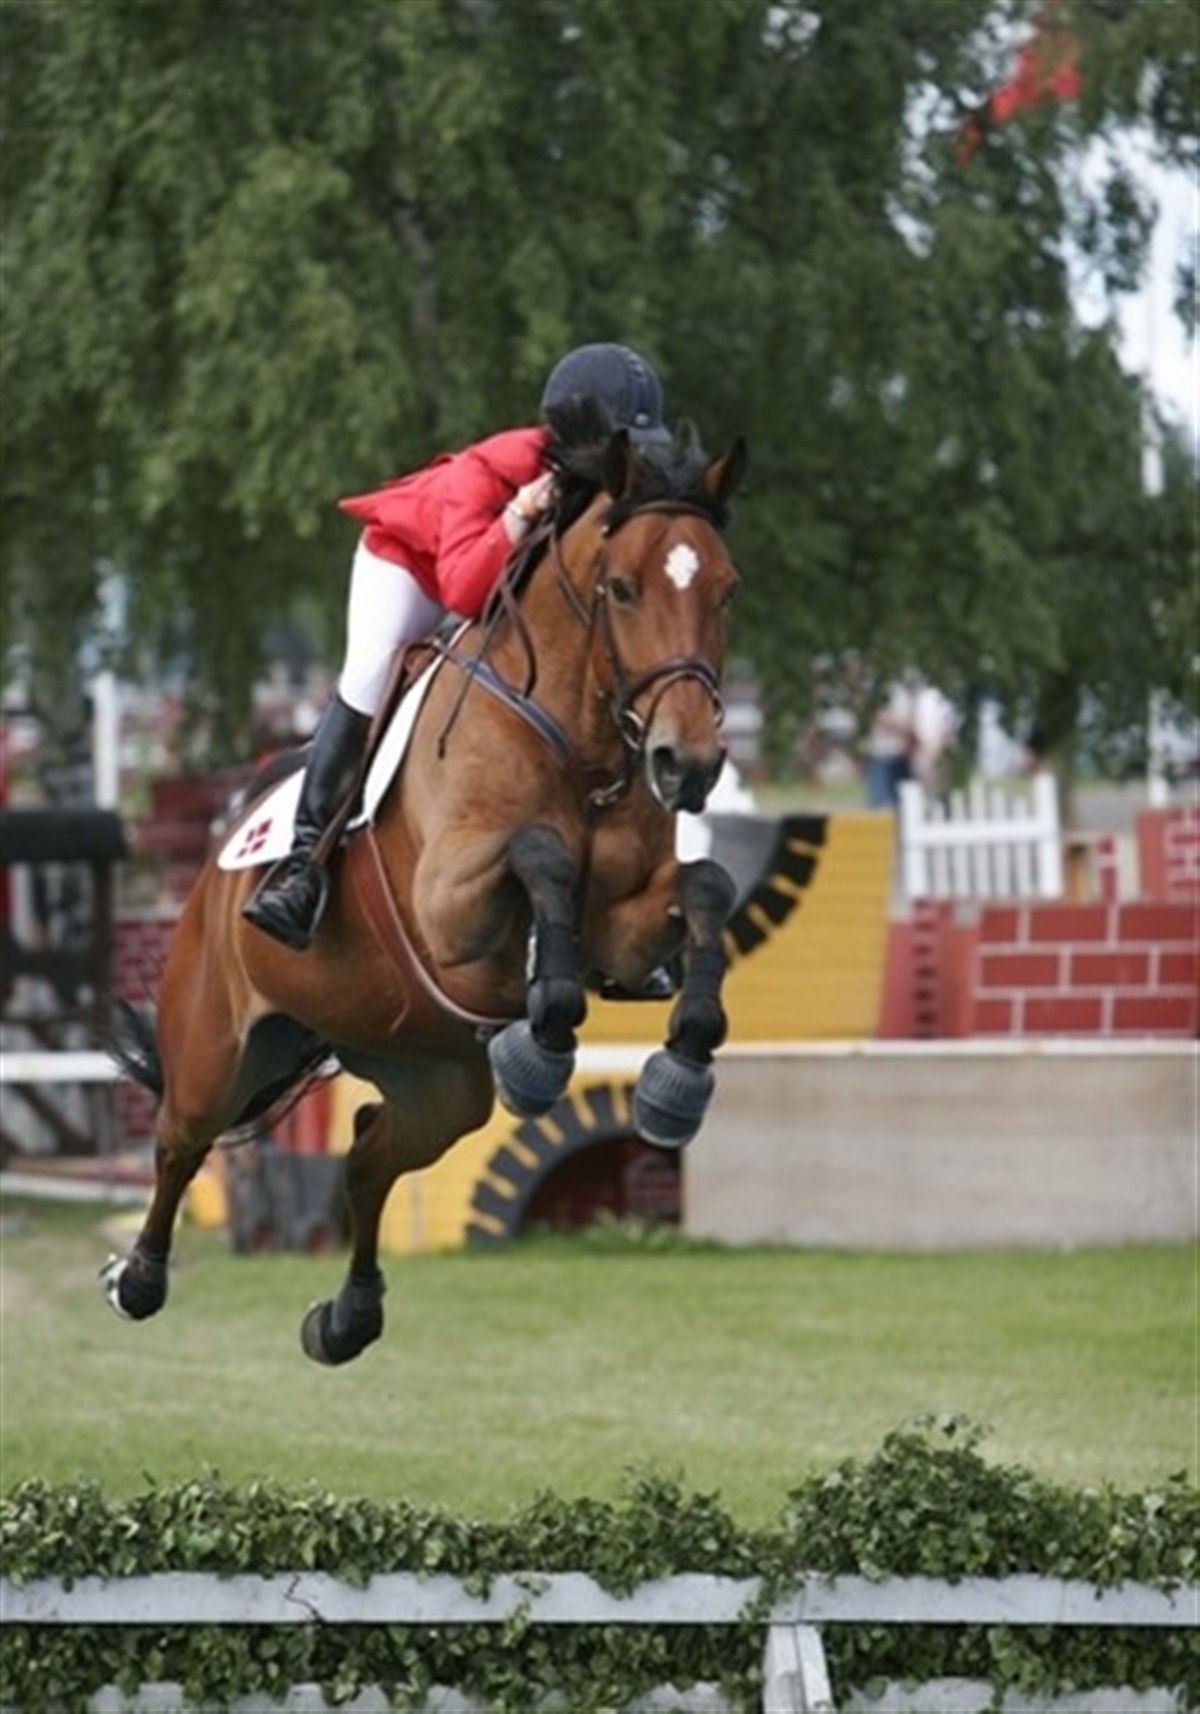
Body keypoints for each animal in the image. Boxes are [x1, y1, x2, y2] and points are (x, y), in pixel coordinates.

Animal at [103, 411, 747, 1365]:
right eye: (624, 589)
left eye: (726, 592)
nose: (688, 763)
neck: (581, 741)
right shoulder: (450, 905)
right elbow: (542, 858)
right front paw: (543, 1041)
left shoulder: (627, 928)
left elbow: (706, 886)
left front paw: (680, 1069)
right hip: (215, 1047)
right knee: (181, 1141)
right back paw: (136, 1280)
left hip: (434, 1079)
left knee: (370, 1156)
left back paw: (345, 1319)